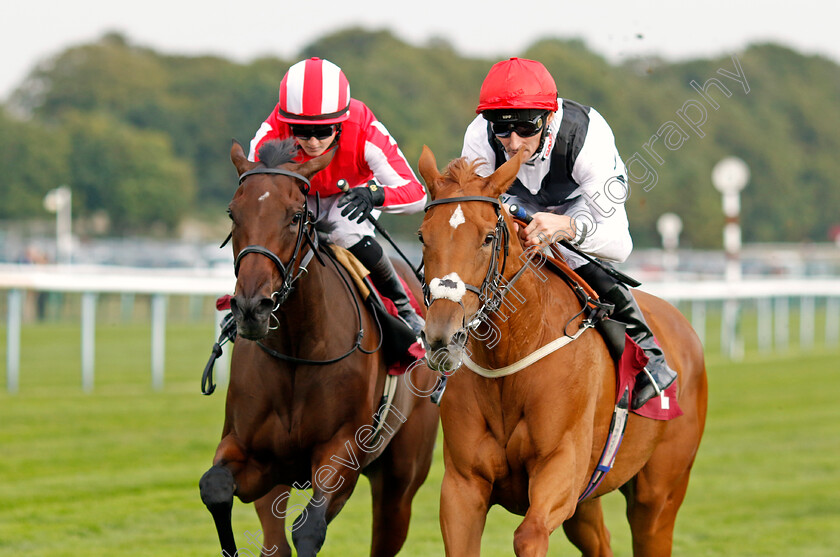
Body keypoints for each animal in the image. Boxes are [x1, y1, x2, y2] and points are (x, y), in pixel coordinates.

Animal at [199, 139, 440, 556]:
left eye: (297, 216)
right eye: (233, 212)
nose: (250, 308)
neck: (298, 349)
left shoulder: (341, 454)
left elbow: (309, 527)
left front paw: (365, 195)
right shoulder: (254, 455)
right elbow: (215, 487)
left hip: (401, 479)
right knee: (274, 539)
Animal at [416, 147, 704, 556]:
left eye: (488, 238)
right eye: (423, 237)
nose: (443, 335)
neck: (511, 355)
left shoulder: (560, 466)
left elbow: (529, 535)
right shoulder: (463, 485)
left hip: (659, 494)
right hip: (588, 502)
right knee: (600, 542)